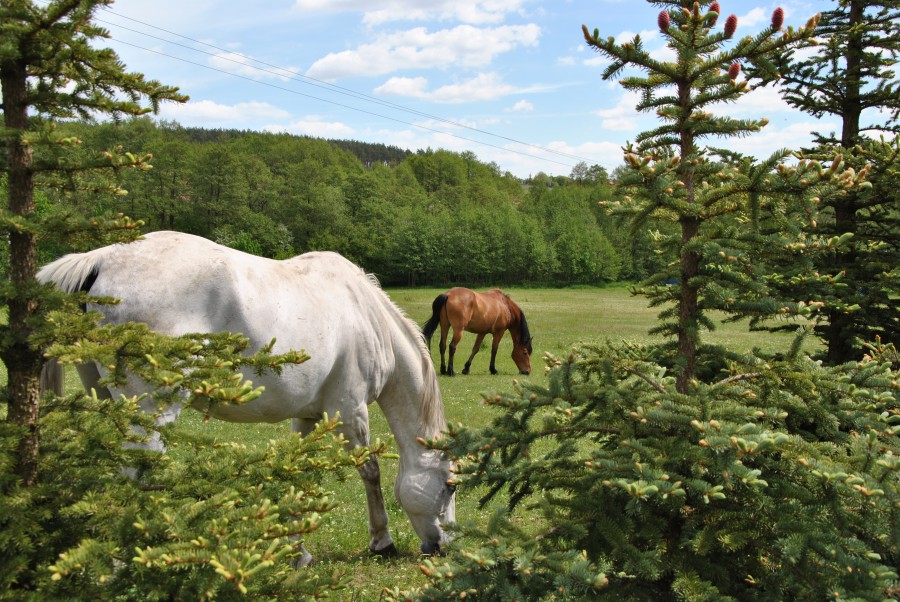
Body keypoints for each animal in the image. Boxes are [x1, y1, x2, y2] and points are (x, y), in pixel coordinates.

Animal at [37, 229, 454, 556]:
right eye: (450, 487)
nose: (442, 547)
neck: (367, 317)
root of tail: (102, 258)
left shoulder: (308, 414)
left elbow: (298, 473)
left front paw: (298, 550)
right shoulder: (349, 411)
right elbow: (370, 471)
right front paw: (382, 542)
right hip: (154, 410)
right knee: (139, 471)